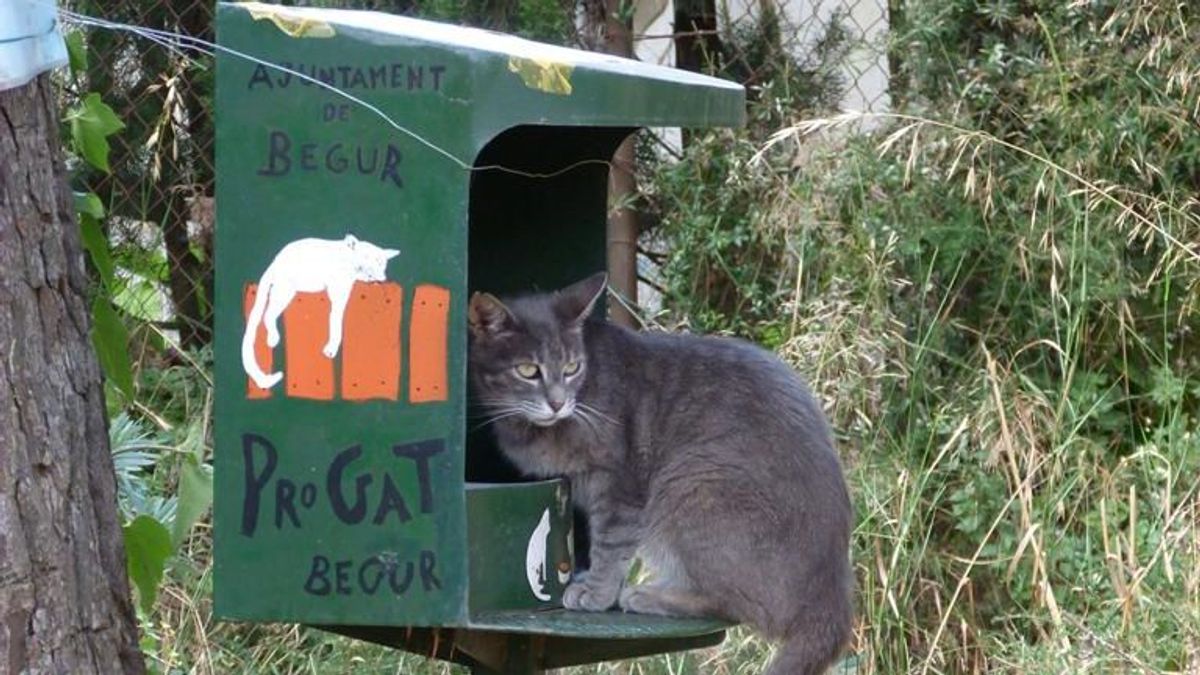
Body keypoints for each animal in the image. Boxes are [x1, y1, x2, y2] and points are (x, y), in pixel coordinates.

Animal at [241, 233, 400, 386]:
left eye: (380, 262)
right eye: (365, 257)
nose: (379, 276)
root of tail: (275, 261)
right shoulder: (339, 293)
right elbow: (335, 319)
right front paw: (331, 348)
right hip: (285, 291)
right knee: (268, 314)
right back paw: (273, 339)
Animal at [468, 270, 854, 667]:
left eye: (572, 368)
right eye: (528, 370)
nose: (558, 403)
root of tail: (832, 597)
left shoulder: (619, 485)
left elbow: (610, 544)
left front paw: (597, 592)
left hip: (691, 484)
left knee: (734, 604)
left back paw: (649, 595)